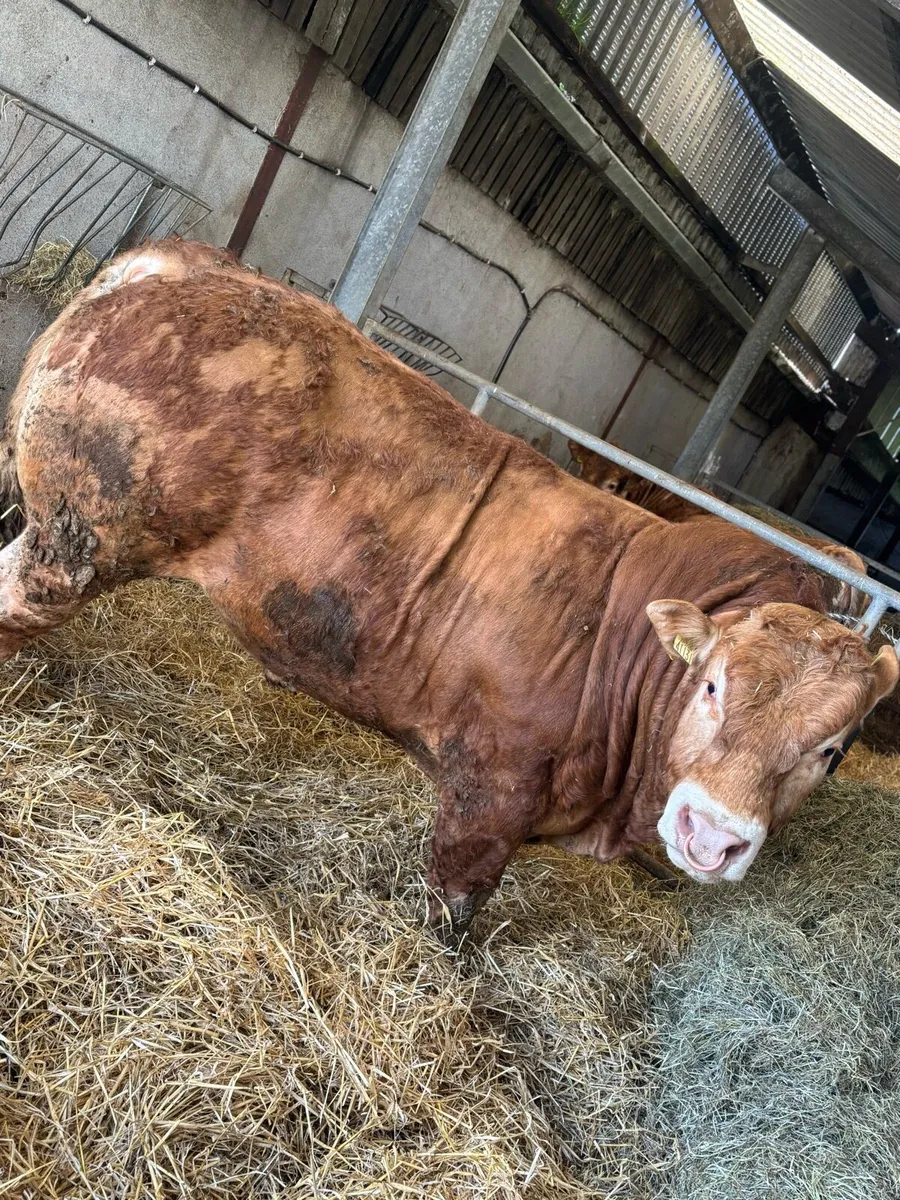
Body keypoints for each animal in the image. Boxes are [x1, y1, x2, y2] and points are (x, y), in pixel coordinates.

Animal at [0, 239, 896, 947]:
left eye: (831, 750)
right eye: (711, 685)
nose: (711, 835)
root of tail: (184, 264)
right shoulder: (490, 790)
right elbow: (455, 904)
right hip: (77, 543)